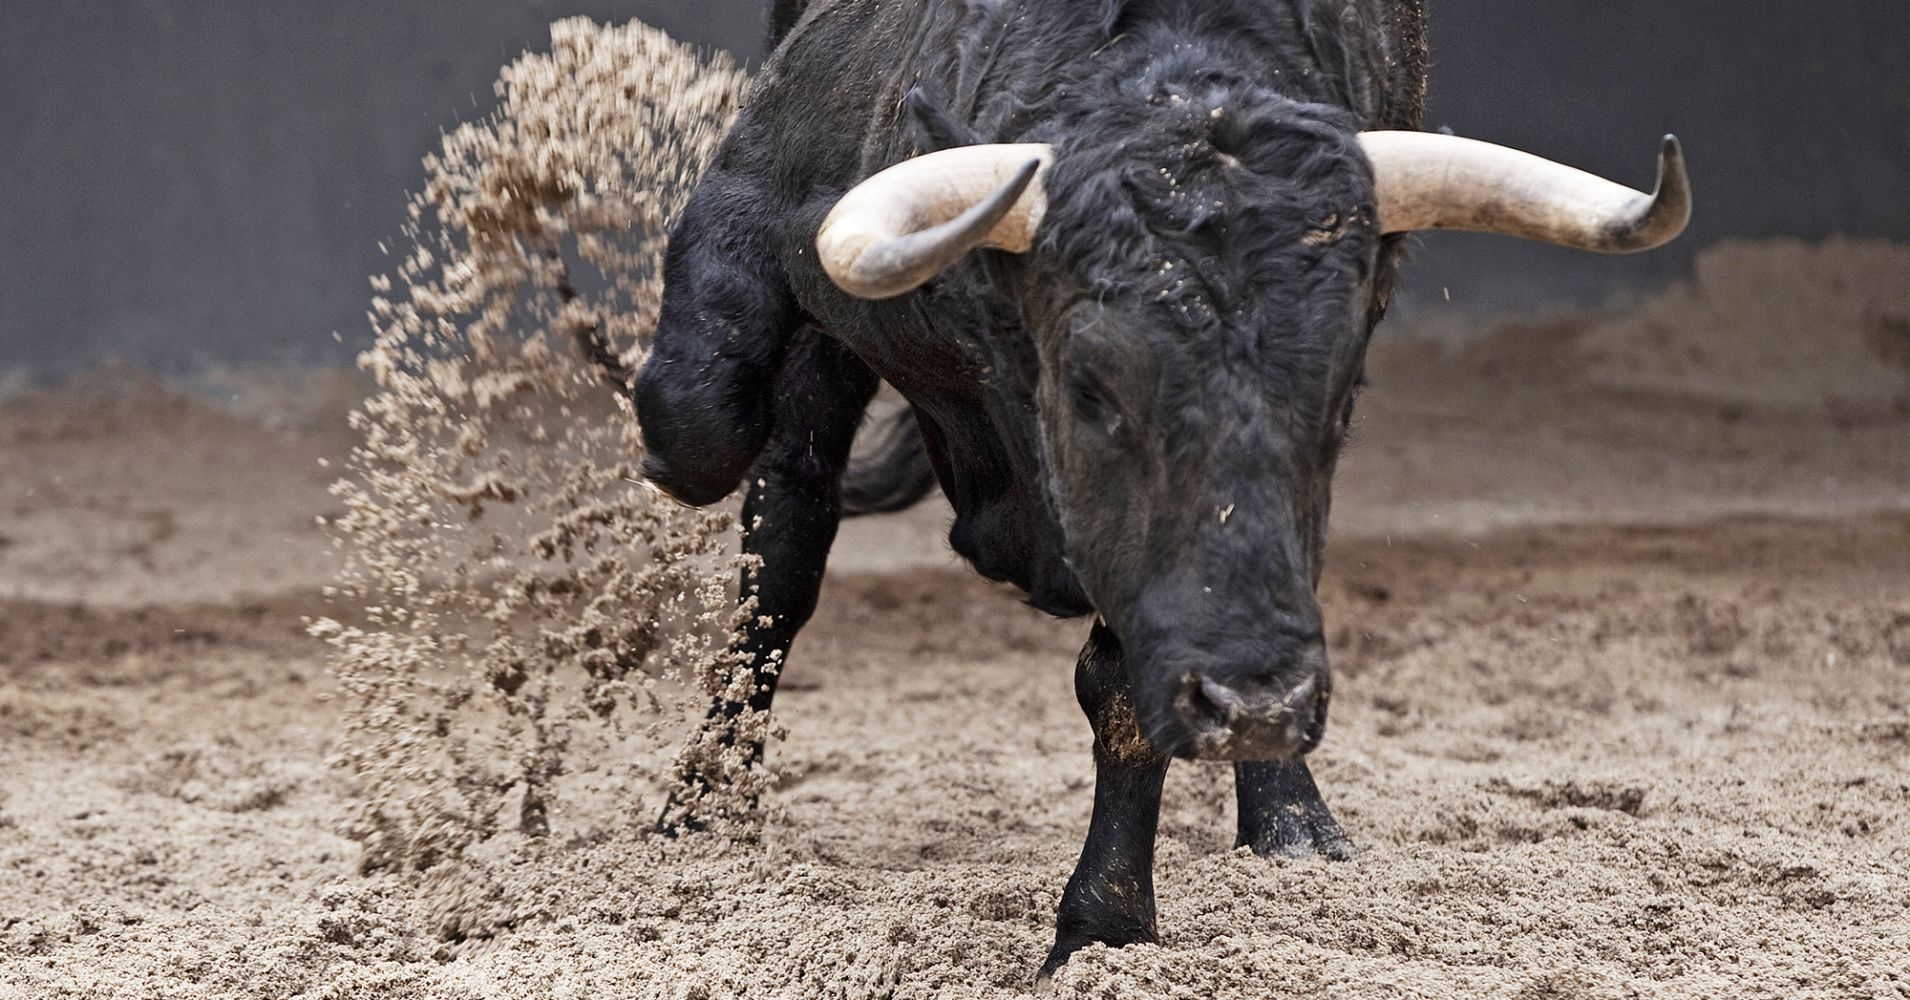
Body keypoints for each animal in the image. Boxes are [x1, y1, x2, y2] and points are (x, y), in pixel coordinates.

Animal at [618, 0, 1680, 973]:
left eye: (1338, 394)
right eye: (1093, 388)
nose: (1257, 703)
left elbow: (1124, 684)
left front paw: (1104, 927)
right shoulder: (759, 203)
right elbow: (710, 438)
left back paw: (1294, 825)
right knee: (778, 538)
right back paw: (706, 811)